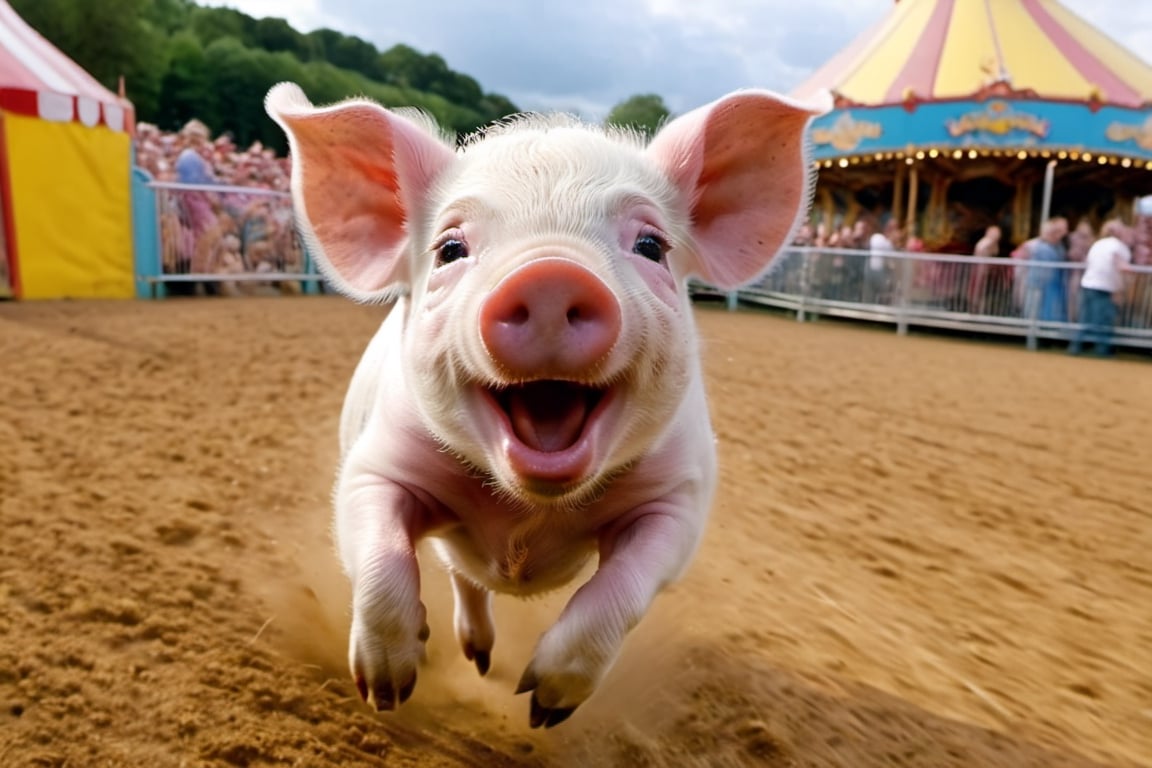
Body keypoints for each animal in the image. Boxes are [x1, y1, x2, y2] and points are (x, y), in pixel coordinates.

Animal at [265, 82, 823, 729]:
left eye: (651, 245)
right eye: (450, 248)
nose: (551, 275)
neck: (526, 517)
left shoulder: (681, 501)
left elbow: (623, 589)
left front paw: (542, 709)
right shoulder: (372, 464)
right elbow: (380, 560)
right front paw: (385, 693)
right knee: (462, 577)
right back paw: (469, 657)